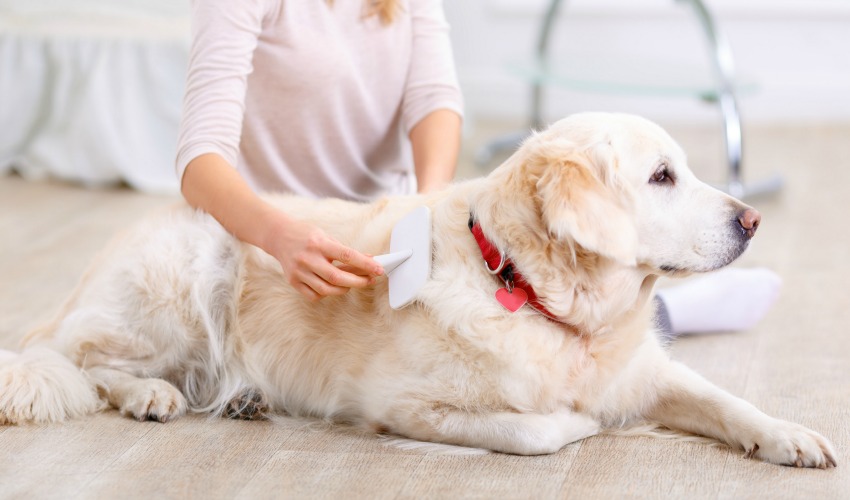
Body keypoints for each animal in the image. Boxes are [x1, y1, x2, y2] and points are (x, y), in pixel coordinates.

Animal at [0, 111, 836, 466]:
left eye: (684, 169)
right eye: (662, 177)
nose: (752, 220)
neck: (531, 291)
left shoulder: (644, 370)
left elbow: (723, 400)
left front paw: (789, 436)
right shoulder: (399, 404)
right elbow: (539, 429)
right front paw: (579, 422)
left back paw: (243, 397)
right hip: (186, 271)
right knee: (83, 359)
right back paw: (151, 394)